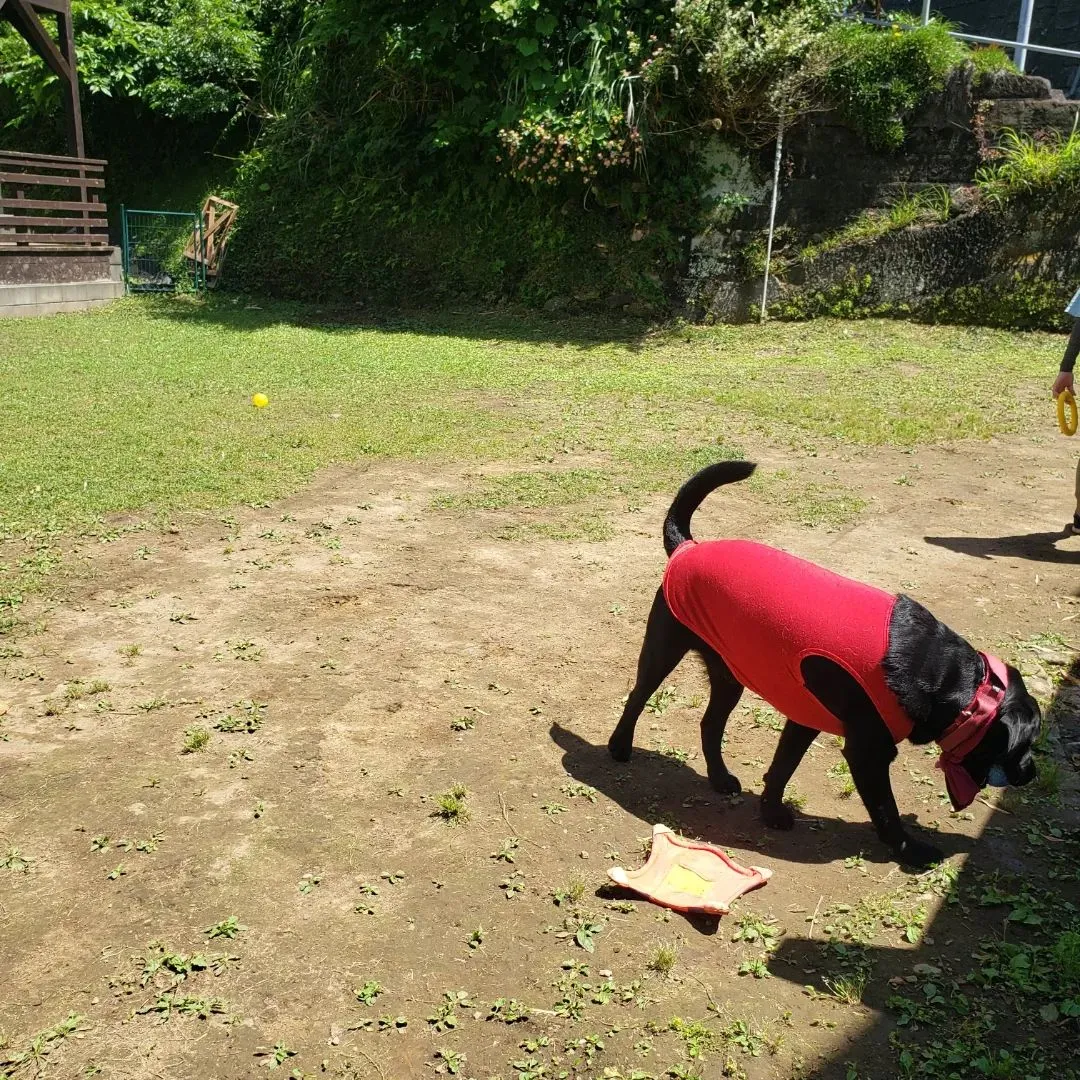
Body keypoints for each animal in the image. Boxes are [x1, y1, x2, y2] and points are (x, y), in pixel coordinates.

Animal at [609, 464, 1036, 868]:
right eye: (1026, 743)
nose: (1030, 774)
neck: (944, 675)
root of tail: (688, 547)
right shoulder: (867, 752)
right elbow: (886, 811)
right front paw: (911, 850)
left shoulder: (804, 718)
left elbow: (781, 768)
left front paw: (771, 811)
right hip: (663, 651)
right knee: (636, 698)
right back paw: (619, 746)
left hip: (730, 673)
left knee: (710, 724)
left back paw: (718, 777)